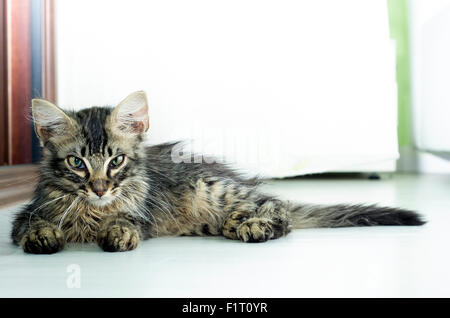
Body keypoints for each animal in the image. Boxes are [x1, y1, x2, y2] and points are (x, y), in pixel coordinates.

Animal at [10, 91, 426, 253]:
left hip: (214, 189)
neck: (92, 210)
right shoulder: (28, 213)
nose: (99, 188)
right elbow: (32, 225)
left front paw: (116, 234)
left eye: (116, 162)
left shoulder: (140, 212)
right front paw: (45, 238)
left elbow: (125, 222)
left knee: (280, 209)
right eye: (77, 163)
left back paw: (255, 227)